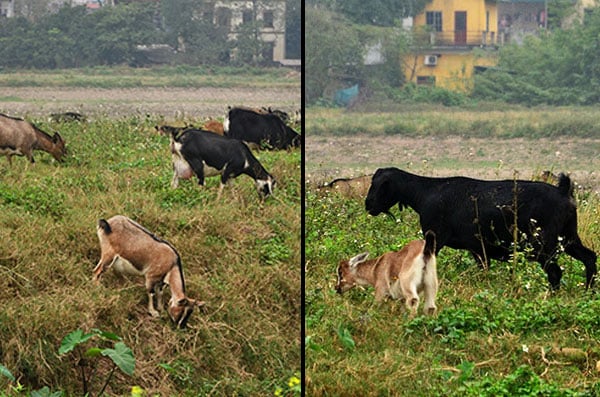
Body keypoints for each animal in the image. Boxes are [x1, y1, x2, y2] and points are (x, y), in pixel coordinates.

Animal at [364, 166, 596, 290]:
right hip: (568, 237)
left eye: (380, 185)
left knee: (555, 271)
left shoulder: (435, 236)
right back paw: (589, 291)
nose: (368, 204)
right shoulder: (477, 248)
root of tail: (563, 191)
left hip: (543, 243)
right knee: (589, 257)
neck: (424, 193)